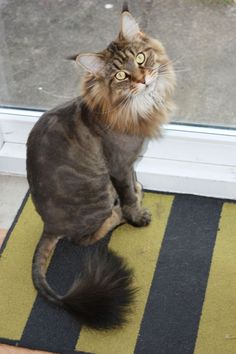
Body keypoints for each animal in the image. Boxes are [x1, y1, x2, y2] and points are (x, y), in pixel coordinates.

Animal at [27, 1, 175, 330]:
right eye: (120, 75)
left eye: (140, 58)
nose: (142, 79)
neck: (133, 107)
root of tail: (47, 224)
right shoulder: (117, 165)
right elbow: (129, 195)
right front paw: (136, 215)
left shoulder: (129, 163)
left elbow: (133, 182)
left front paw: (139, 190)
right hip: (100, 191)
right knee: (85, 238)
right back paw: (116, 216)